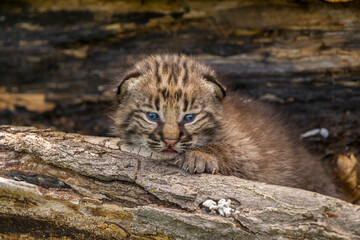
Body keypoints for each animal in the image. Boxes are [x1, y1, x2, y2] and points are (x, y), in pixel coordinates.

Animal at [113, 54, 340, 197]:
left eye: (189, 117)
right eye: (152, 116)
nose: (170, 141)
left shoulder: (250, 151)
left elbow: (229, 150)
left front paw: (201, 155)